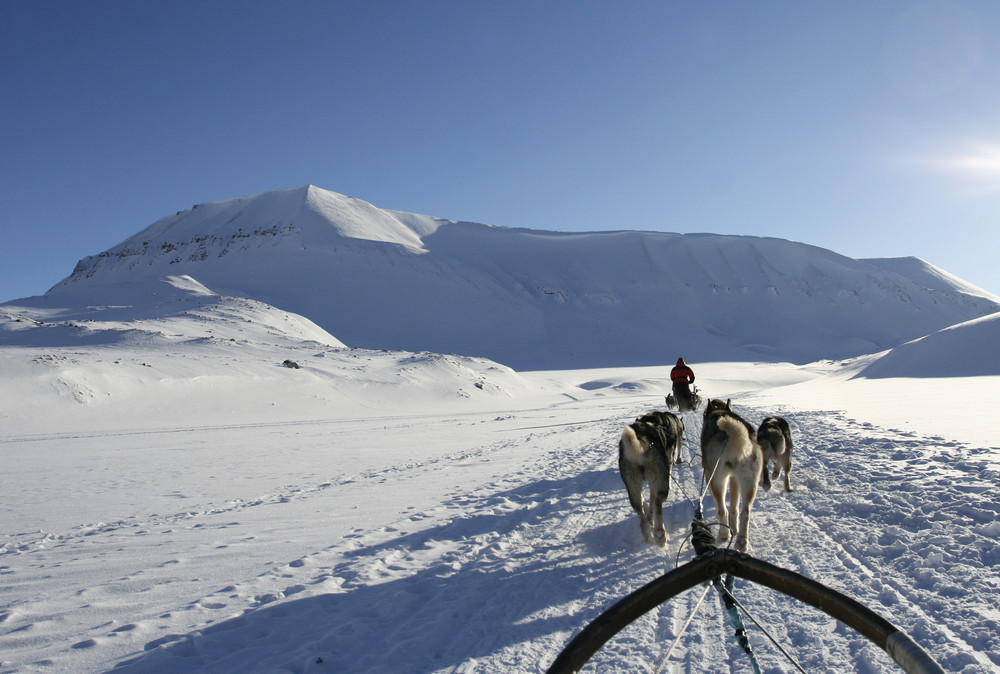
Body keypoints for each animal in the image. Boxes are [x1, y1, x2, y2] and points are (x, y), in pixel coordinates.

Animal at [620, 410, 684, 544]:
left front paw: (649, 516)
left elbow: (647, 499)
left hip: (632, 484)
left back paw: (647, 532)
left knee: (638, 507)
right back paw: (660, 534)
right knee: (658, 502)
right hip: (661, 480)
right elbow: (653, 498)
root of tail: (642, 438)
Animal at [704, 396, 764, 548]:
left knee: (722, 509)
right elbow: (734, 507)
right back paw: (741, 540)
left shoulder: (709, 475)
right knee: (745, 512)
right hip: (749, 482)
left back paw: (724, 534)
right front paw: (734, 527)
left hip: (718, 480)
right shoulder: (734, 479)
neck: (719, 411)